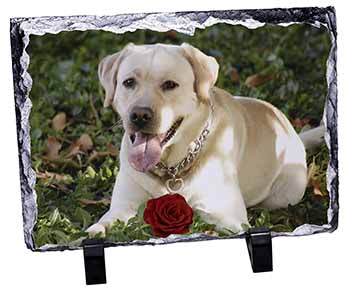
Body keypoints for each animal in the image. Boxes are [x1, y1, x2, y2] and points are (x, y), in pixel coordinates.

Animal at [86, 42, 308, 236]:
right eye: (129, 82)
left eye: (170, 84)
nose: (139, 115)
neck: (170, 167)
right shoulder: (123, 207)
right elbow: (103, 224)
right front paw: (92, 234)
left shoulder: (227, 217)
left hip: (285, 194)